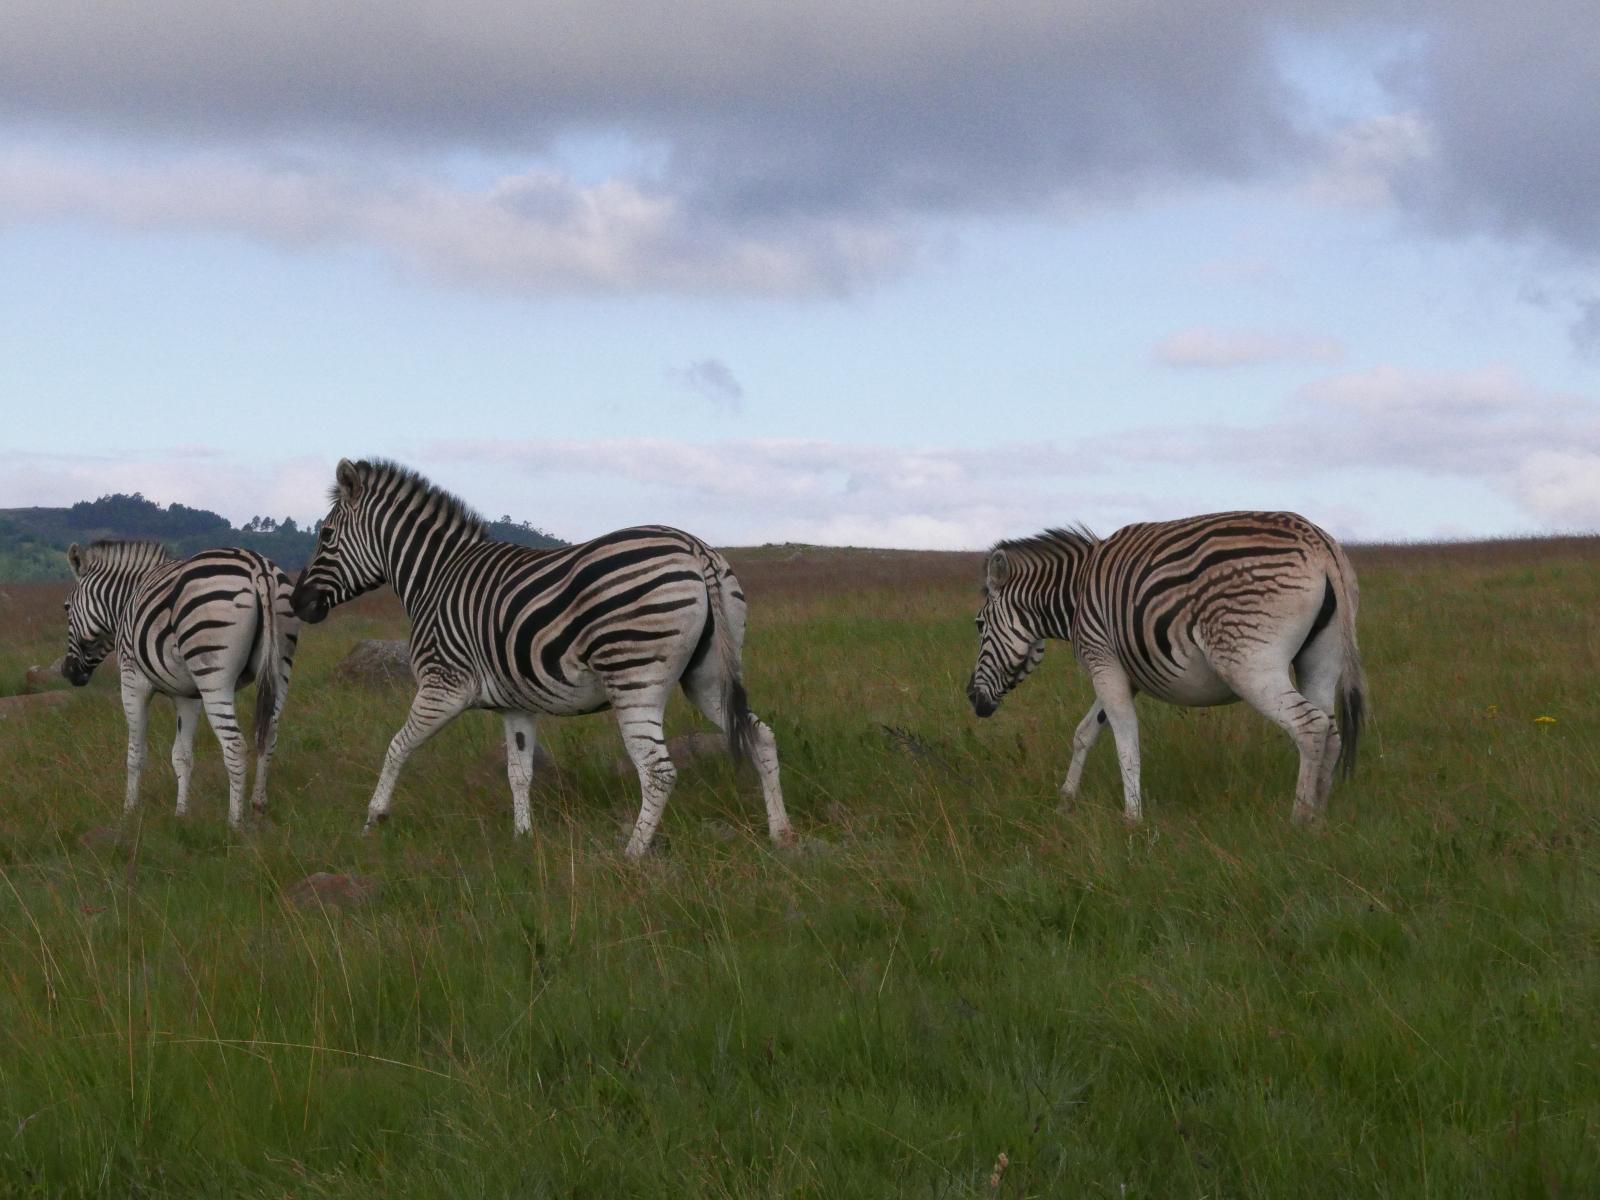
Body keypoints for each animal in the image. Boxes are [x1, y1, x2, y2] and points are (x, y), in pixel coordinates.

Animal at [62, 544, 299, 825]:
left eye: (66, 608)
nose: (67, 671)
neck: (126, 600)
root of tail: (257, 566)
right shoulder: (188, 696)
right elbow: (182, 756)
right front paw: (181, 814)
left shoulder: (133, 680)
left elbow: (135, 752)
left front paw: (129, 811)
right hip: (280, 665)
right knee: (269, 734)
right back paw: (258, 805)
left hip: (213, 675)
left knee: (235, 746)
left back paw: (234, 822)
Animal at [289, 454, 793, 857]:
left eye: (326, 534)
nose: (297, 603)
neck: (435, 576)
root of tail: (695, 547)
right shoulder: (516, 705)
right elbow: (519, 772)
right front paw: (522, 837)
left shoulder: (443, 684)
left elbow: (396, 746)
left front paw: (374, 819)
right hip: (706, 677)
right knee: (761, 737)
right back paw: (780, 834)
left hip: (634, 677)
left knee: (658, 771)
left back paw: (632, 855)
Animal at [966, 512, 1369, 832]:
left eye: (979, 625)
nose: (972, 698)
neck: (1076, 595)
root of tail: (1319, 544)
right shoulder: (1123, 671)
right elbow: (1085, 733)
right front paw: (1066, 802)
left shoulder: (1103, 661)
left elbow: (1125, 743)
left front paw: (1132, 819)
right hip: (1320, 660)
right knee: (1330, 730)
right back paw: (1318, 817)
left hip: (1250, 664)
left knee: (1310, 726)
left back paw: (1298, 820)